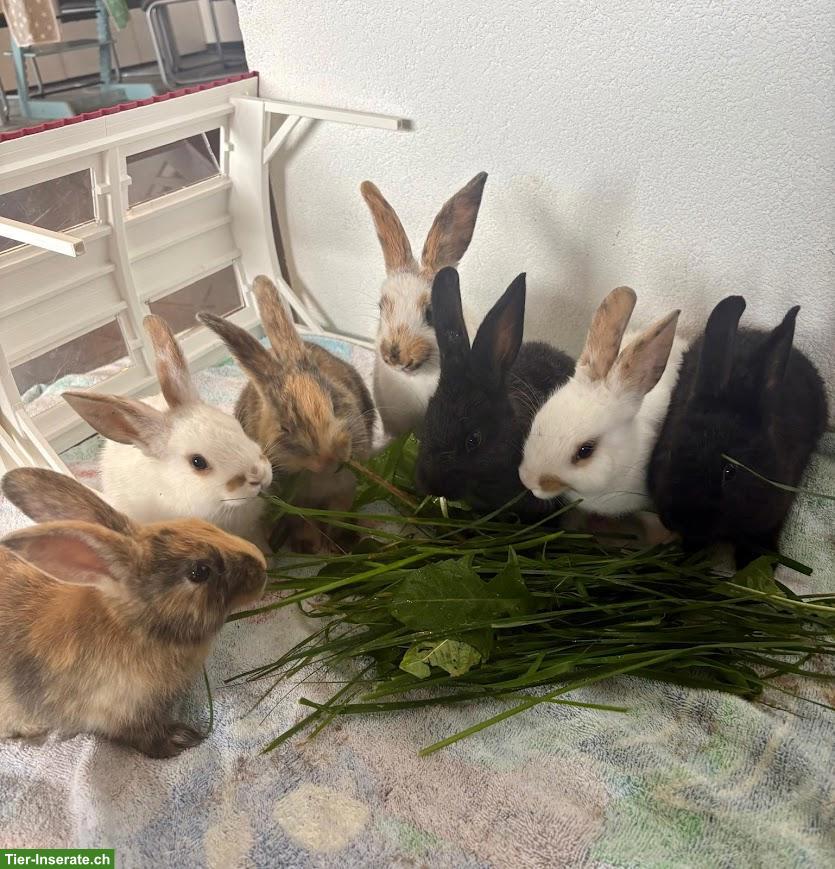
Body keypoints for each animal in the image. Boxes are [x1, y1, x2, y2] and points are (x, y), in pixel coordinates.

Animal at [0, 467, 266, 758]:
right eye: (199, 571)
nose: (262, 566)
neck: (136, 627)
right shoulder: (116, 713)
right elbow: (142, 736)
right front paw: (183, 739)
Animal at [198, 275, 375, 554]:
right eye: (285, 427)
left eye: (335, 404)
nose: (329, 459)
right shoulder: (297, 501)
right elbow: (304, 521)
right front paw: (307, 546)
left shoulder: (344, 490)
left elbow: (339, 515)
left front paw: (336, 543)